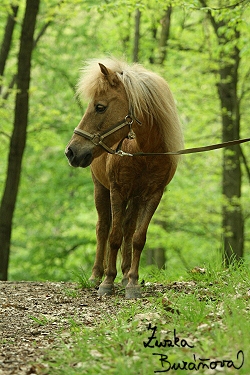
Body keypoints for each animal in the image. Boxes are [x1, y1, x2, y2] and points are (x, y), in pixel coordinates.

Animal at [65, 58, 183, 300]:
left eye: (100, 107)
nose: (71, 152)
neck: (143, 151)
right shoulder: (117, 191)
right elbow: (114, 236)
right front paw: (107, 281)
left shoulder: (152, 195)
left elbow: (137, 238)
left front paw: (133, 282)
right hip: (100, 190)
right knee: (103, 228)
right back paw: (96, 275)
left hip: (135, 198)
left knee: (129, 229)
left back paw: (126, 273)